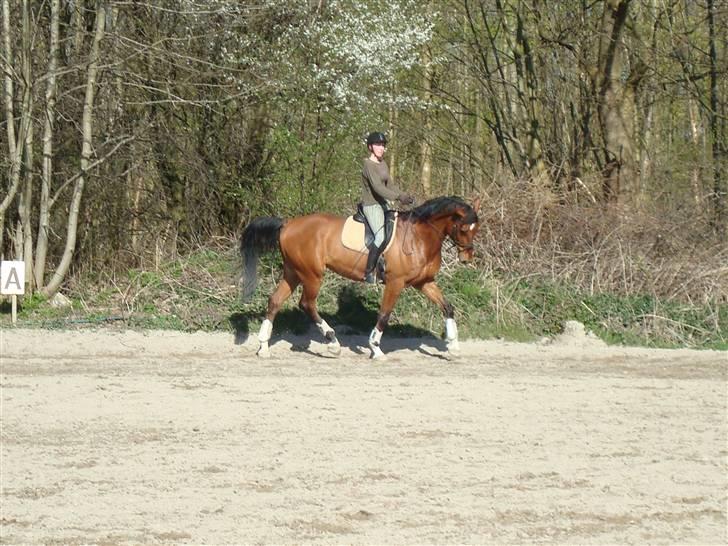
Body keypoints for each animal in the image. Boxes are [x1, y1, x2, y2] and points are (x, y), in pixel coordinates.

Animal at [242, 194, 480, 356]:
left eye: (475, 228)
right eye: (463, 228)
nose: (466, 258)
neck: (419, 236)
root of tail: (287, 224)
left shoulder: (424, 282)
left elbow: (447, 307)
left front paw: (453, 345)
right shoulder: (395, 282)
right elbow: (384, 314)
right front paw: (376, 348)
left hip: (293, 272)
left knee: (274, 301)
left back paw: (263, 347)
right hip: (312, 275)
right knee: (307, 304)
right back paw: (333, 342)